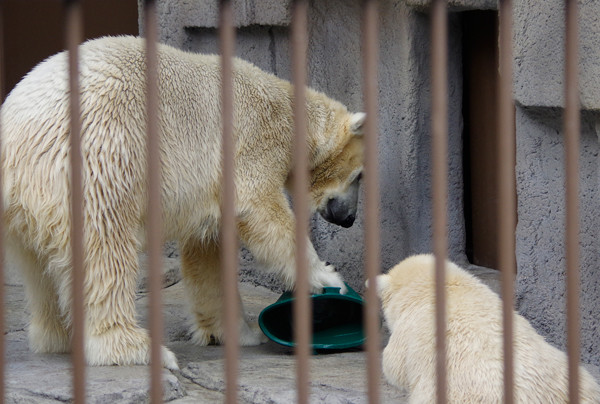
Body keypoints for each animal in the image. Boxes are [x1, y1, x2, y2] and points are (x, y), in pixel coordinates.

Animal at [0, 36, 364, 370]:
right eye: (360, 176)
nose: (349, 219)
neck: (289, 111)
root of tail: (14, 135)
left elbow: (208, 257)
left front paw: (239, 332)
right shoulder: (255, 137)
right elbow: (261, 209)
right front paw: (327, 277)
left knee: (39, 267)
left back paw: (58, 336)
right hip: (100, 161)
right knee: (106, 248)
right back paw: (135, 347)